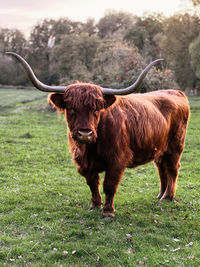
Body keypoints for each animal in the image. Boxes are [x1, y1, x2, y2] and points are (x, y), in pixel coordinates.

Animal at [6, 52, 190, 218]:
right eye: (71, 108)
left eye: (96, 110)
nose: (84, 133)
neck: (90, 149)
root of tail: (176, 92)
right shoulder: (84, 162)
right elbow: (92, 183)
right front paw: (94, 205)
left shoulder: (117, 159)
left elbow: (109, 185)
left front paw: (108, 211)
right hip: (160, 148)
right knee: (161, 168)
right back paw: (160, 195)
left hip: (176, 147)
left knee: (173, 168)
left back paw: (168, 197)